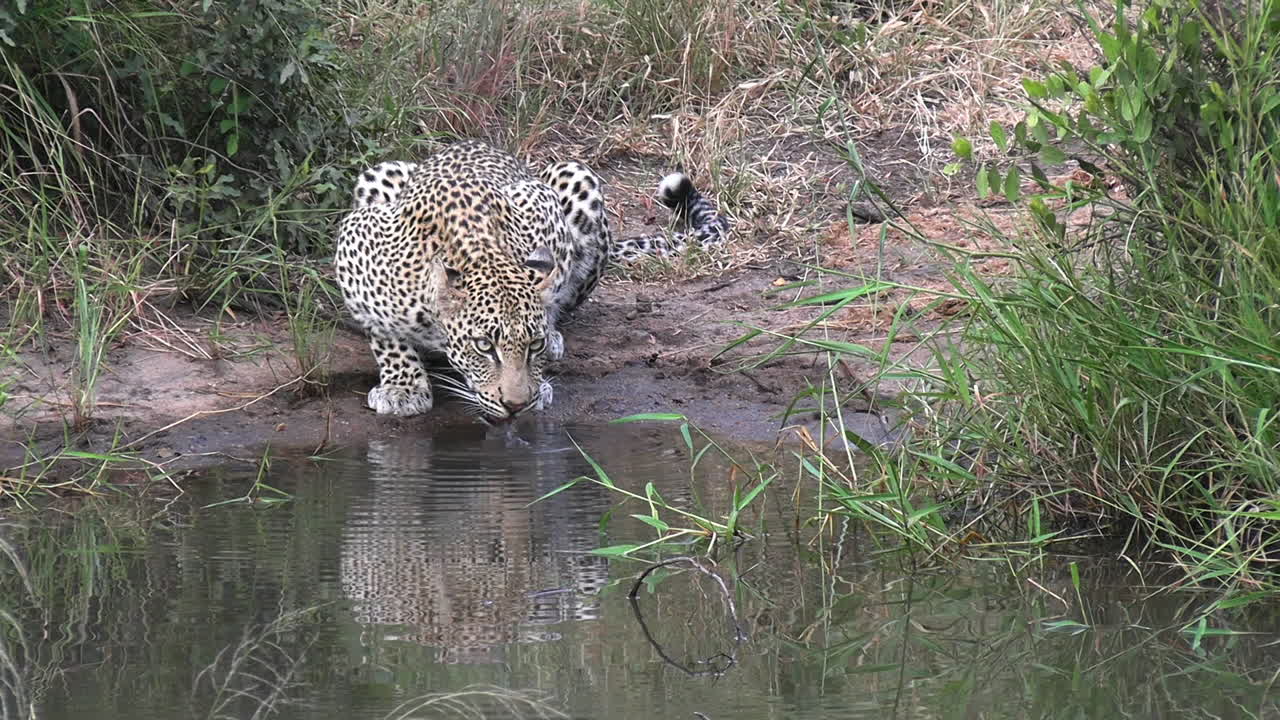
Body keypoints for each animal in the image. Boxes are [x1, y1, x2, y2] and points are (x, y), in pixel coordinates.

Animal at [334, 140, 728, 422]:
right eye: (483, 346)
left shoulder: (541, 206)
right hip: (380, 173)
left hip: (576, 174)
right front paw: (402, 389)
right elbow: (384, 333)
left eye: (532, 345)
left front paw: (543, 370)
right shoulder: (356, 238)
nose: (516, 404)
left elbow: (551, 287)